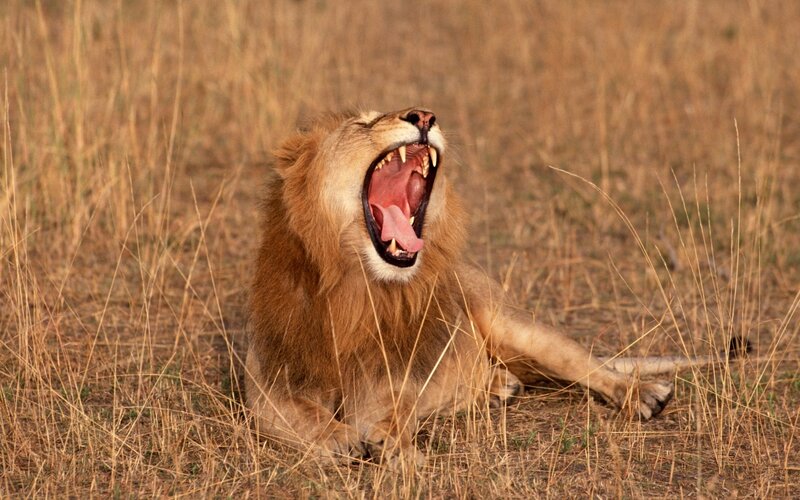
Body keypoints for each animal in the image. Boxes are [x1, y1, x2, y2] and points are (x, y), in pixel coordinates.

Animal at [245, 107, 747, 466]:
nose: (423, 115)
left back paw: (644, 394)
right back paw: (498, 386)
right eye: (363, 122)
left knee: (591, 366)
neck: (356, 287)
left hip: (517, 325)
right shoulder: (267, 383)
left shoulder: (396, 378)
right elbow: (295, 414)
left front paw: (394, 442)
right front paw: (336, 438)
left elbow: (397, 409)